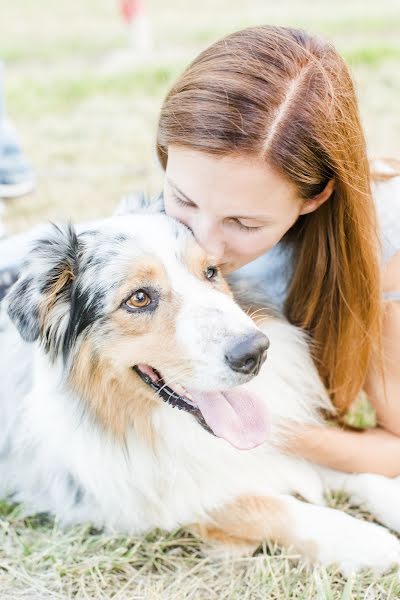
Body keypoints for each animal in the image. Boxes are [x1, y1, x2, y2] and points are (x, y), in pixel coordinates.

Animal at [2, 205, 400, 576]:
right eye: (138, 298)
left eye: (210, 271)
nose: (255, 352)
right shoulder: (133, 501)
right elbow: (263, 506)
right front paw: (363, 541)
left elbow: (346, 467)